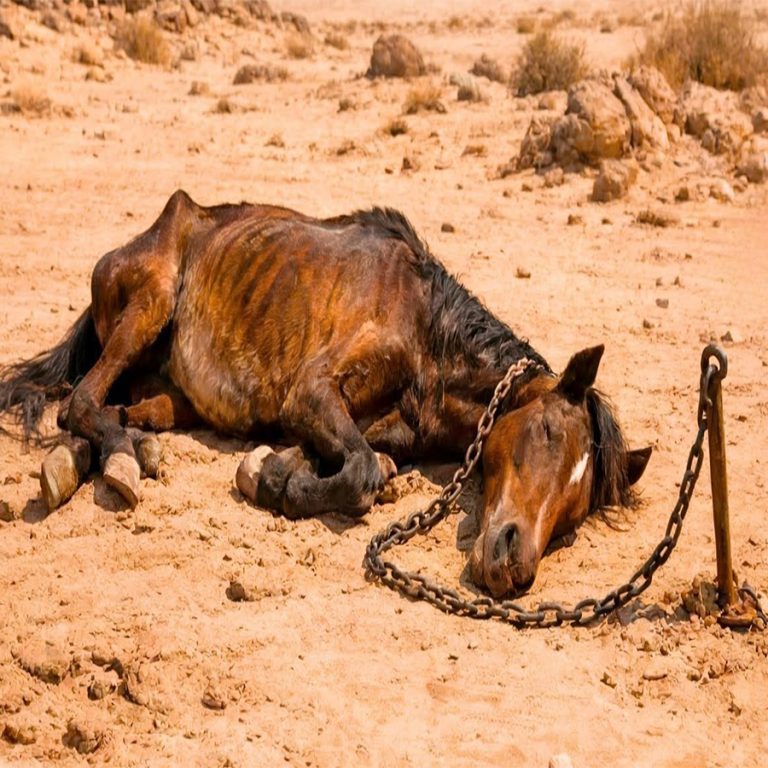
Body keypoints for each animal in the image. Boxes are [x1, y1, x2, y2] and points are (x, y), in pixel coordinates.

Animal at [0, 190, 651, 596]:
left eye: (576, 508)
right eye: (545, 430)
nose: (513, 565)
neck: (428, 328)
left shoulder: (378, 425)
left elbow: (365, 461)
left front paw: (279, 470)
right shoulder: (311, 392)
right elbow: (360, 471)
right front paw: (275, 481)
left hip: (167, 389)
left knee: (119, 408)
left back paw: (119, 454)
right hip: (150, 303)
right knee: (80, 403)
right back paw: (115, 461)